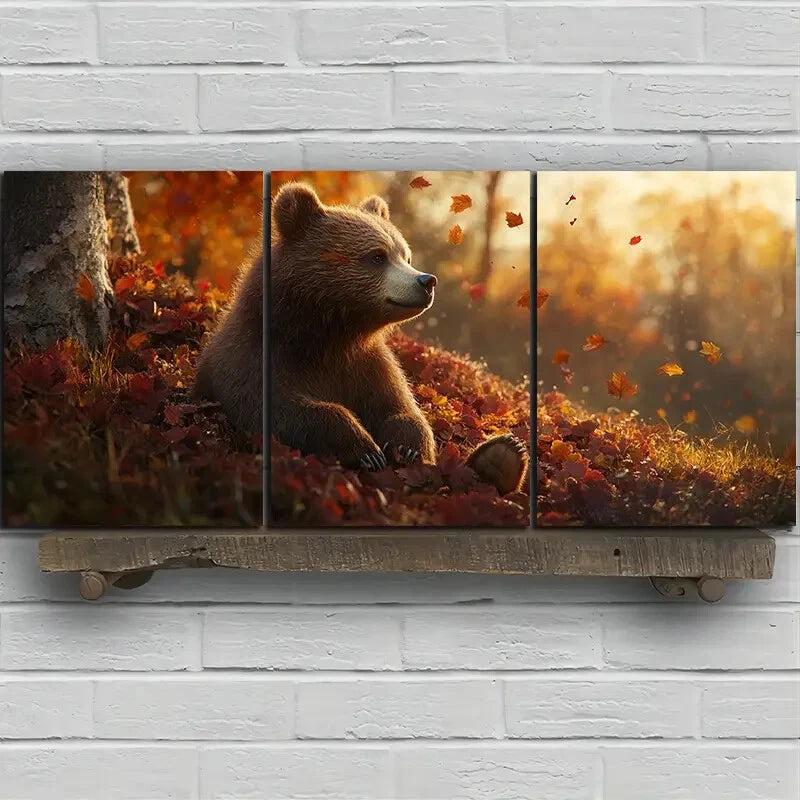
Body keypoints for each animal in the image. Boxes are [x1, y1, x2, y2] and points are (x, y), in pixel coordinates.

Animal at [196, 181, 527, 496]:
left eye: (406, 255)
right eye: (377, 256)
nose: (426, 281)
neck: (328, 335)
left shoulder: (369, 365)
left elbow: (402, 409)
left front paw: (407, 449)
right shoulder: (260, 358)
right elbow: (283, 409)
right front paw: (367, 450)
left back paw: (504, 455)